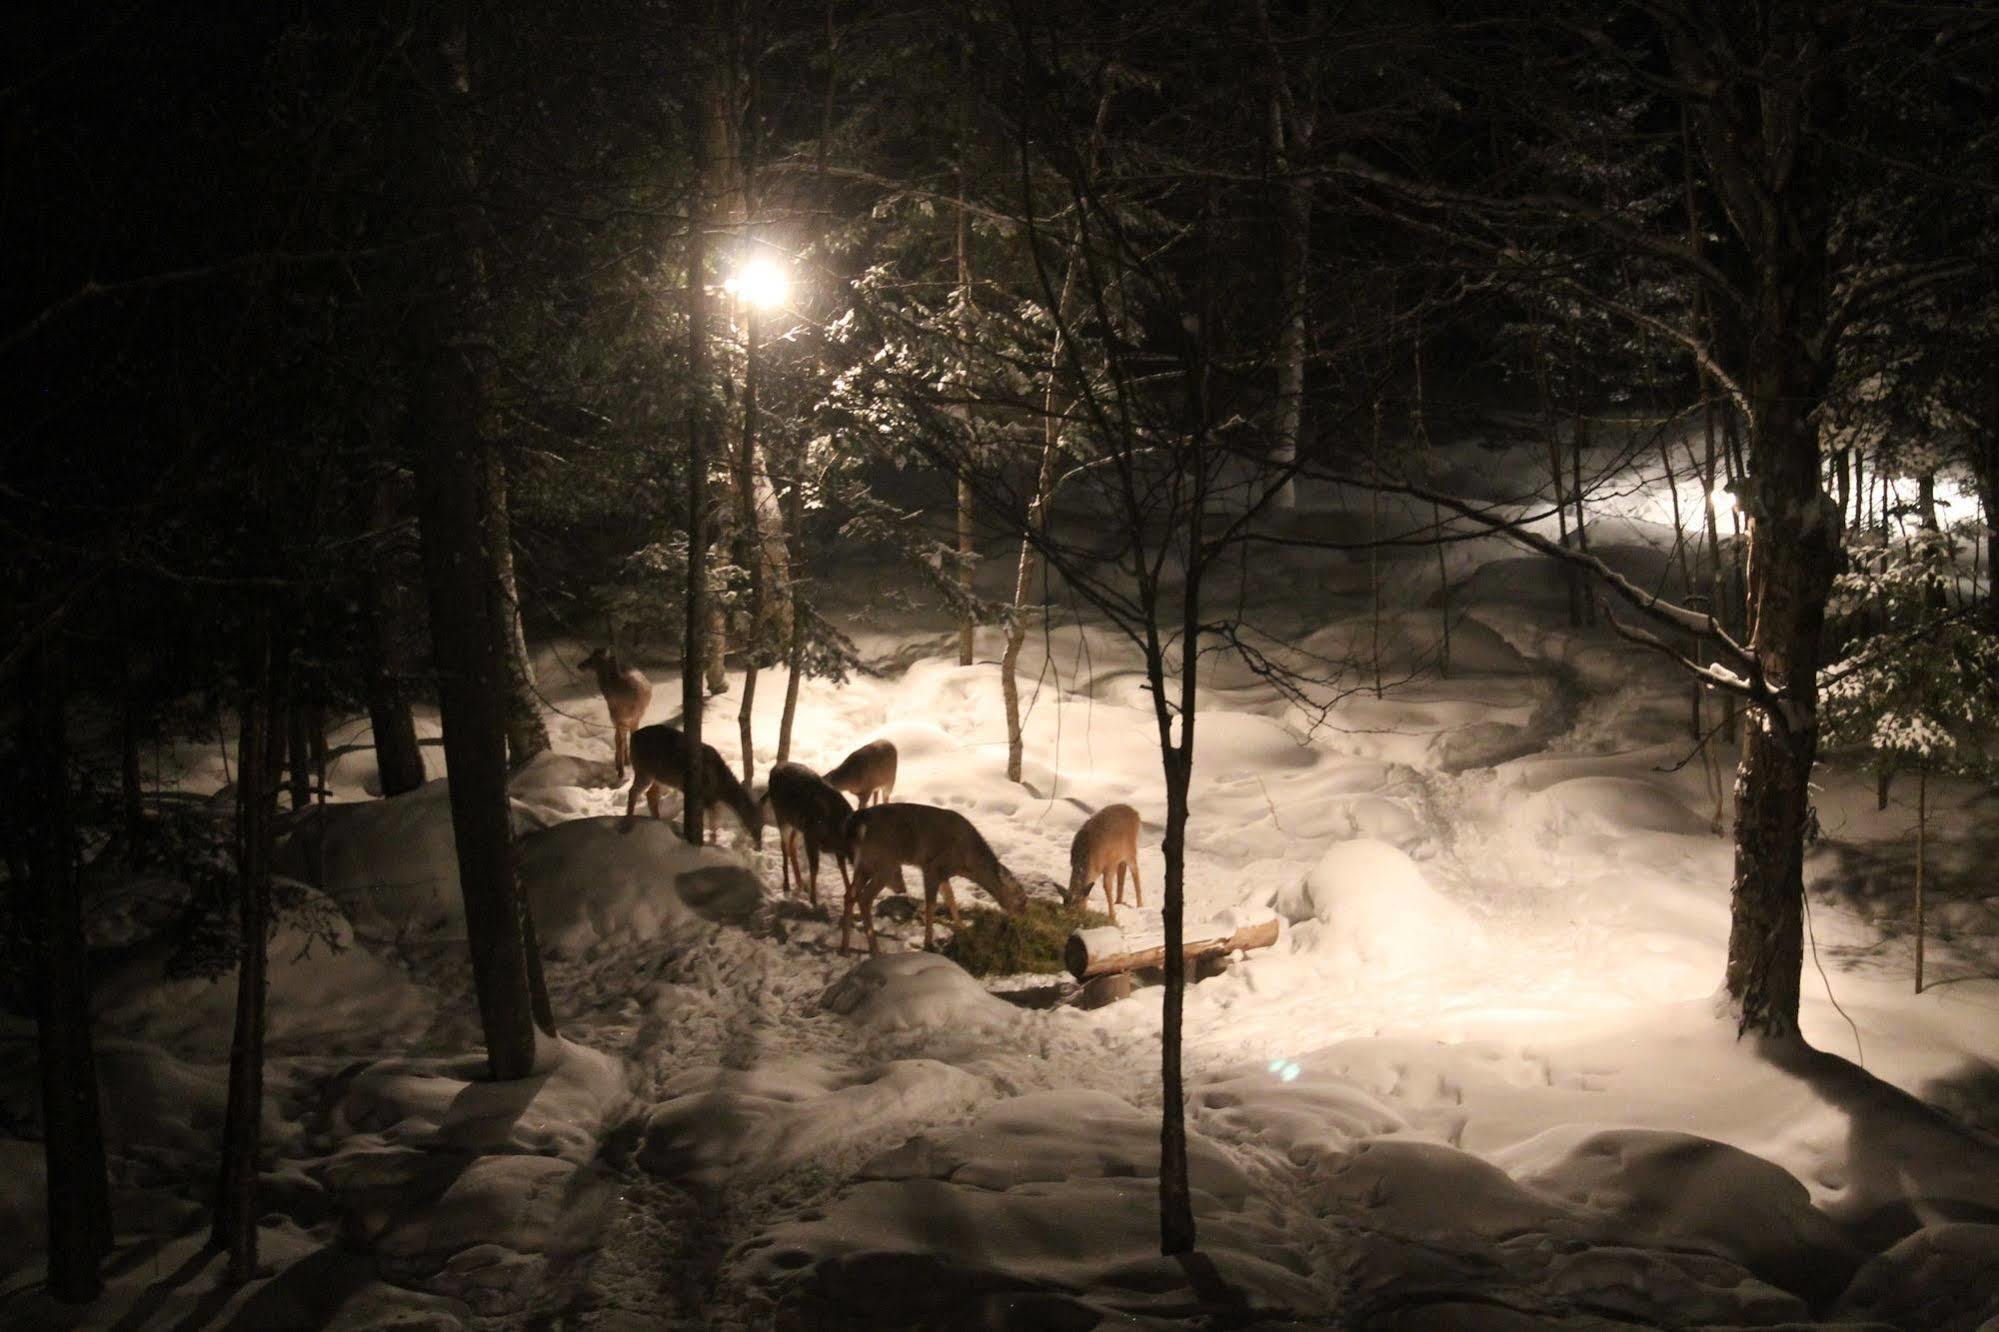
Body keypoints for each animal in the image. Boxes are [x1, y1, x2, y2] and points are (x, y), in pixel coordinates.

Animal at [575, 644, 651, 784]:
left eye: (593, 658)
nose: (580, 665)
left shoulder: (616, 716)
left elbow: (617, 739)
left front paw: (620, 768)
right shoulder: (624, 719)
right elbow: (620, 738)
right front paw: (624, 763)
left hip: (623, 715)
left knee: (621, 737)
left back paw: (622, 768)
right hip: (635, 716)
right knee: (627, 735)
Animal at [623, 720, 763, 844]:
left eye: (763, 824)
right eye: (756, 823)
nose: (759, 845)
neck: (720, 785)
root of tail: (633, 738)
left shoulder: (708, 797)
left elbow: (714, 817)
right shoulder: (705, 795)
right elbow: (713, 820)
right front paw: (712, 842)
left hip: (660, 777)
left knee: (651, 795)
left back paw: (658, 821)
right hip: (643, 770)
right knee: (633, 791)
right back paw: (628, 824)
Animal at [755, 764, 851, 908]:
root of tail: (774, 769)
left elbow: (842, 866)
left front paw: (850, 893)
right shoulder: (811, 836)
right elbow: (814, 867)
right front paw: (813, 900)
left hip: (797, 824)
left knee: (791, 845)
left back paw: (800, 882)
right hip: (782, 817)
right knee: (784, 845)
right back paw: (787, 884)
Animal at [843, 800, 1031, 956]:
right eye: (1021, 900)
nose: (1025, 922)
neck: (967, 863)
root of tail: (859, 824)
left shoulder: (943, 873)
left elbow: (950, 898)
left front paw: (962, 929)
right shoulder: (932, 866)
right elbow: (931, 904)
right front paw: (928, 944)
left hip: (865, 865)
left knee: (849, 895)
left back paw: (845, 948)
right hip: (884, 863)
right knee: (864, 898)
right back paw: (875, 951)